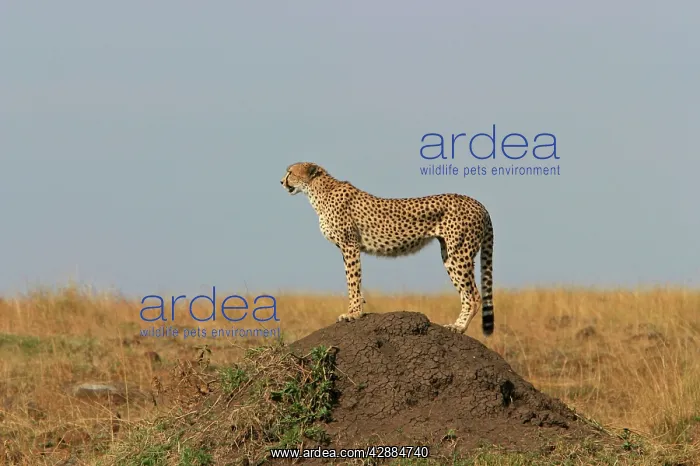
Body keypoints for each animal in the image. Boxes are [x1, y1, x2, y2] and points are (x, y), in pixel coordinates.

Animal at [280, 162, 495, 336]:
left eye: (290, 172)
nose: (281, 181)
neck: (317, 191)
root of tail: (478, 203)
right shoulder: (346, 248)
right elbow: (352, 280)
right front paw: (357, 309)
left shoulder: (350, 245)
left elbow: (353, 281)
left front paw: (353, 314)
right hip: (449, 255)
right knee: (467, 293)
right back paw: (457, 326)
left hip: (459, 253)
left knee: (474, 296)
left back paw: (458, 327)